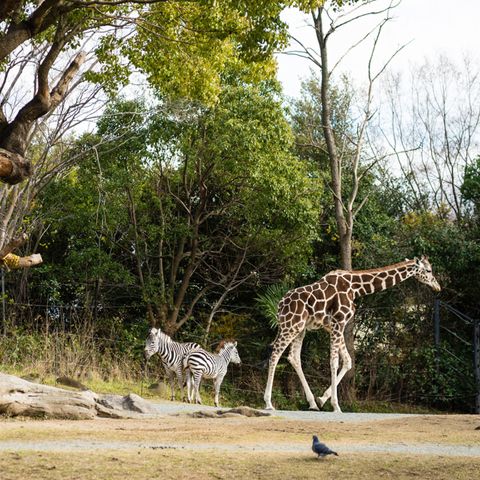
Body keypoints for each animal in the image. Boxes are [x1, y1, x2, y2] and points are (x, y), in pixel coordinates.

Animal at [264, 255, 440, 412]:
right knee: (275, 353)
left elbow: (348, 361)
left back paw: (312, 403)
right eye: (429, 270)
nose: (437, 287)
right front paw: (336, 406)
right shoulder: (338, 321)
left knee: (293, 356)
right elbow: (334, 362)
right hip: (290, 325)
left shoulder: (333, 325)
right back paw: (268, 403)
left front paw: (322, 399)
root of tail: (280, 305)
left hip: (300, 328)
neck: (356, 288)